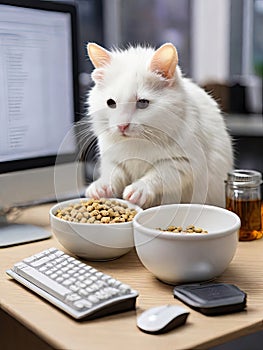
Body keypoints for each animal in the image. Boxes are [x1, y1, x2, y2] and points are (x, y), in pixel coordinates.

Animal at [85, 43, 234, 208]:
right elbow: (112, 174)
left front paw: (138, 190)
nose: (122, 126)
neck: (137, 141)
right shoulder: (112, 160)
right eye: (110, 103)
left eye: (143, 103)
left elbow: (158, 176)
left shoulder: (182, 164)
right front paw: (99, 188)